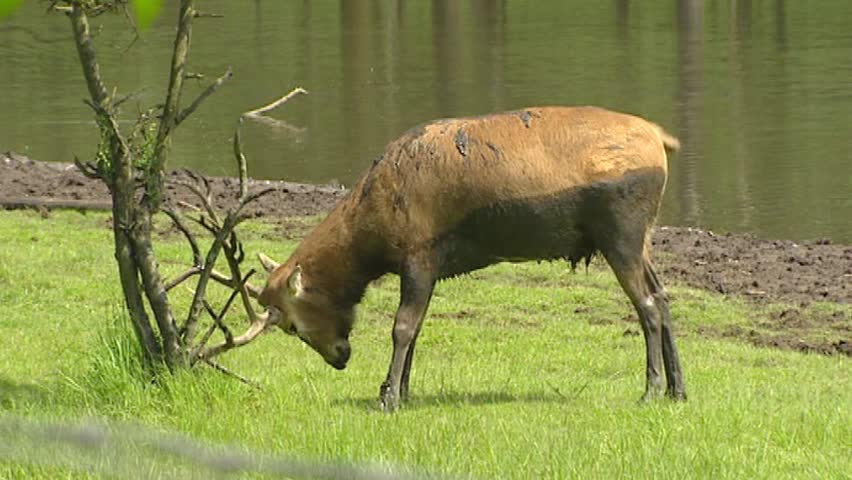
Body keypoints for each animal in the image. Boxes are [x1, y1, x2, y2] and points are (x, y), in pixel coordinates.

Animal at [255, 106, 687, 412]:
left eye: (291, 324)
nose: (339, 357)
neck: (370, 236)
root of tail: (661, 140)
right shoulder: (426, 269)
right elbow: (416, 329)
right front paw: (401, 391)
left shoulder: (418, 257)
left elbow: (402, 328)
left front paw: (389, 396)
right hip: (642, 238)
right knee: (663, 298)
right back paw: (678, 389)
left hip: (621, 233)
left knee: (647, 306)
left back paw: (651, 390)